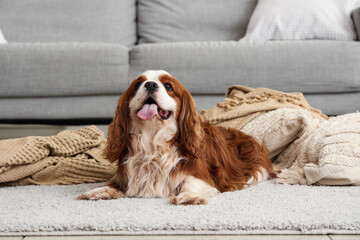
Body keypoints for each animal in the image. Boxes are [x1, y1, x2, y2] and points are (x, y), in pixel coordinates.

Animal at [77, 69, 278, 204]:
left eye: (168, 86)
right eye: (137, 85)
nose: (150, 84)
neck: (152, 140)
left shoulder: (200, 173)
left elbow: (192, 182)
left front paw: (189, 195)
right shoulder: (126, 173)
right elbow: (114, 183)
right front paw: (100, 190)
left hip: (256, 168)